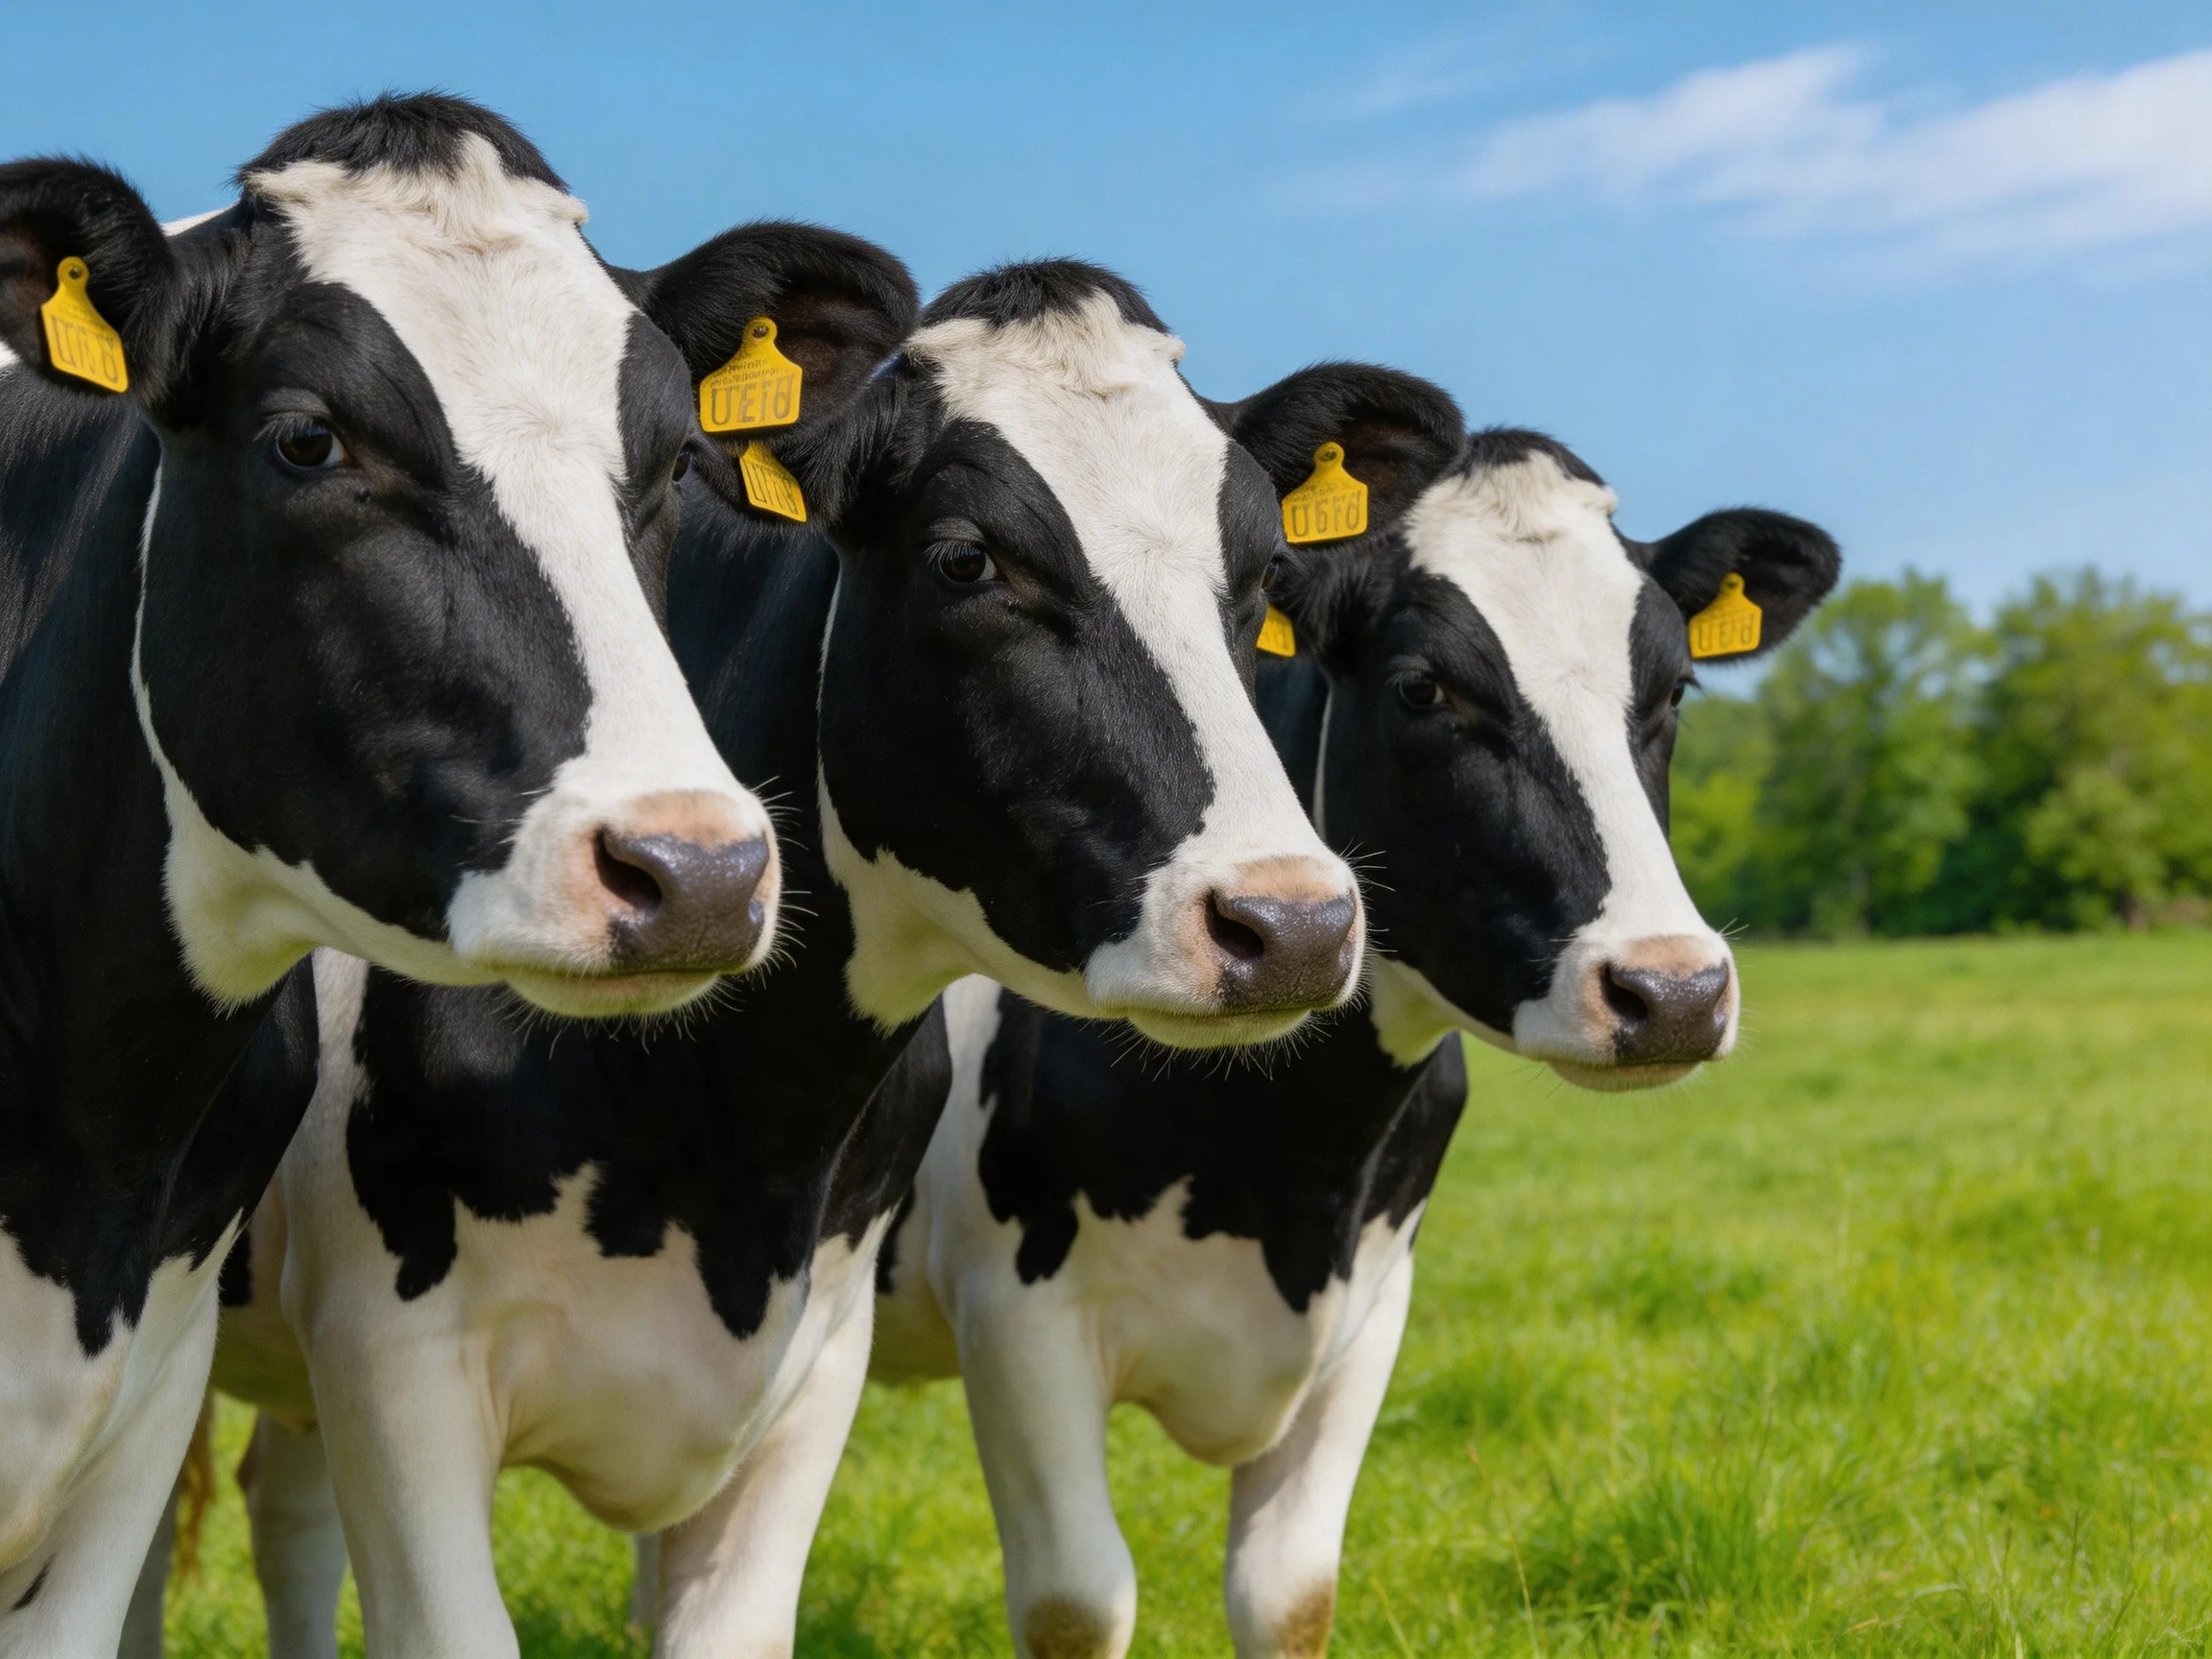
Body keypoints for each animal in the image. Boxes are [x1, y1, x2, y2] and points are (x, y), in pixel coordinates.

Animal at [197, 261, 1377, 1659]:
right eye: (967, 558)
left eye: (1263, 576)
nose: (1293, 924)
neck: (723, 1139)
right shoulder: (389, 1350)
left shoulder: (817, 1360)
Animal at [869, 367, 1842, 1658]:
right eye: (1425, 687)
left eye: (1674, 686)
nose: (1673, 989)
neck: (1291, 1166)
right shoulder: (1017, 1310)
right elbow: (1080, 1600)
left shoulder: (1370, 1314)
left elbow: (1288, 1595)